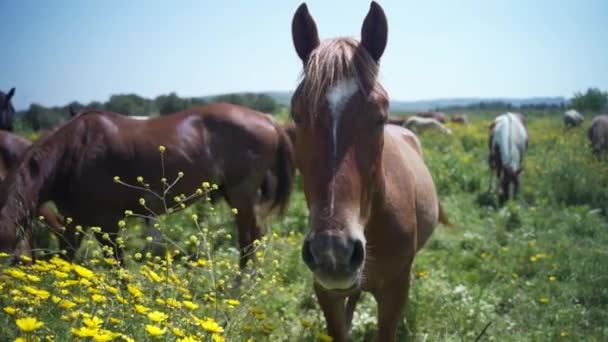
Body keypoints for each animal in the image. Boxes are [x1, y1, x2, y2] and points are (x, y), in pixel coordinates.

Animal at [0, 104, 294, 268]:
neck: (73, 152)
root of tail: (269, 121)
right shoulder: (75, 221)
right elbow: (66, 259)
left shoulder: (107, 224)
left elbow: (119, 269)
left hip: (241, 197)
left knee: (248, 241)